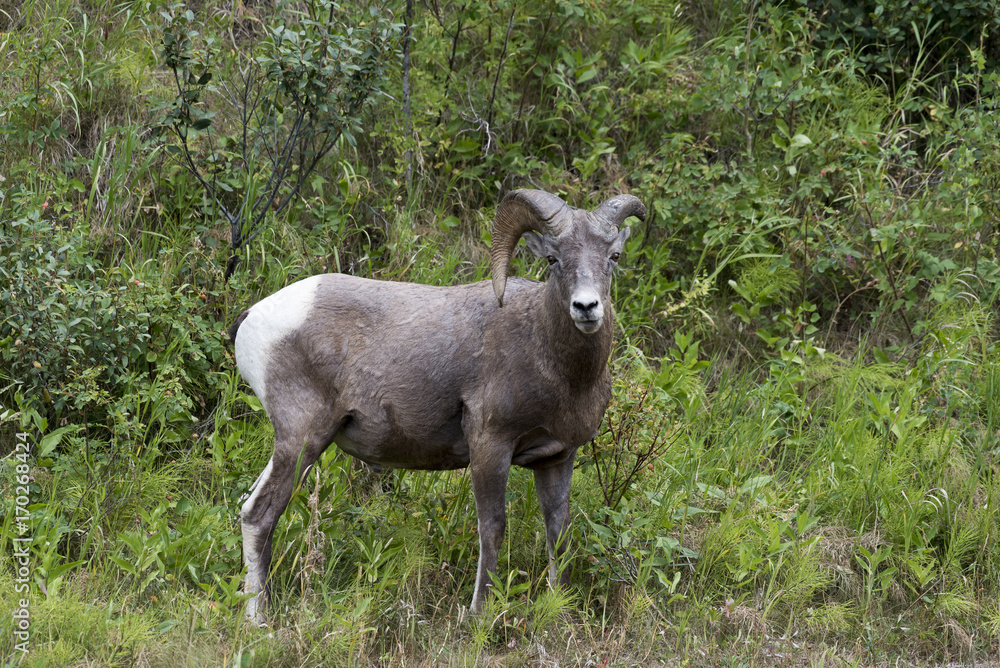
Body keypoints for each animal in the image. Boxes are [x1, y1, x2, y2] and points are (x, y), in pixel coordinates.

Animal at [229, 187, 644, 620]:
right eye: (553, 258)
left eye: (613, 256)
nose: (586, 307)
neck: (547, 354)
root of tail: (253, 316)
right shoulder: (490, 447)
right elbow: (492, 528)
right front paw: (479, 614)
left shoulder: (556, 458)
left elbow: (557, 532)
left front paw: (557, 610)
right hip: (302, 439)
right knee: (259, 514)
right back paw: (258, 619)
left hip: (294, 447)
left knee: (248, 508)